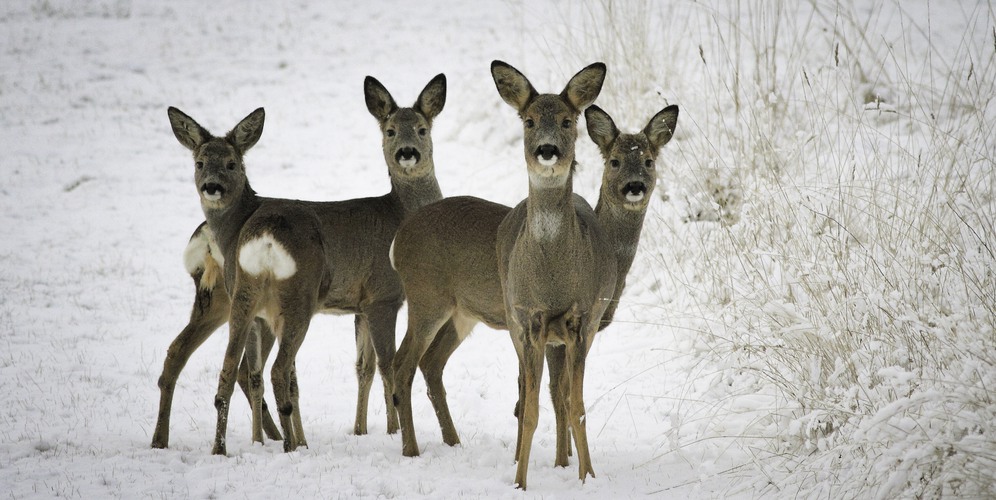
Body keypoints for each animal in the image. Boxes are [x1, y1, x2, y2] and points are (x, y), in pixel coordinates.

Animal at [161, 75, 446, 458]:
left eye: (421, 128)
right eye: (389, 130)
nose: (407, 152)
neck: (400, 213)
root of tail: (264, 238)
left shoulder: (359, 304)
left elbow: (364, 366)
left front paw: (364, 431)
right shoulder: (382, 296)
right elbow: (387, 365)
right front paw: (393, 432)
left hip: (242, 295)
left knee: (226, 367)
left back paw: (220, 446)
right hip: (294, 299)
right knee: (274, 370)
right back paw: (286, 444)